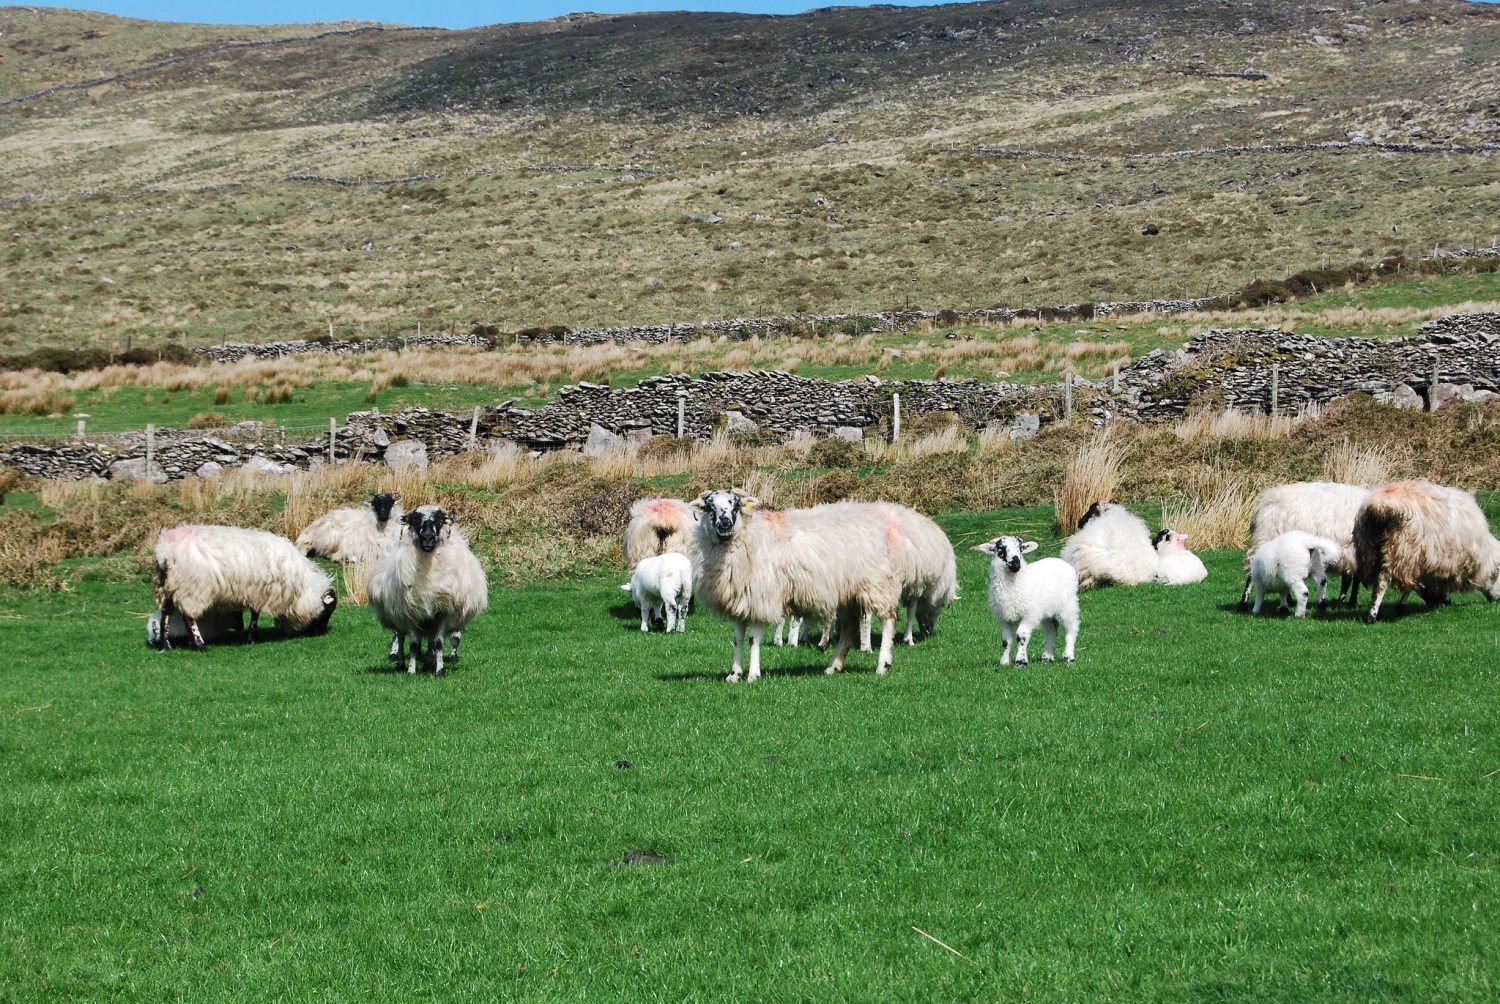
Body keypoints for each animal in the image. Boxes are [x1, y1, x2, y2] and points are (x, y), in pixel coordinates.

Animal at [151, 525, 337, 651]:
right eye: (328, 610)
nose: (319, 633)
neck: (303, 588)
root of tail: (166, 550)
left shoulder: (257, 592)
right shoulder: (261, 593)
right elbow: (255, 615)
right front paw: (252, 637)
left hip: (169, 587)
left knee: (166, 614)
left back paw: (165, 645)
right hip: (192, 588)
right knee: (188, 617)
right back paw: (199, 645)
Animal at [366, 504, 489, 678]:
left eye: (440, 519)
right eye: (415, 520)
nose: (428, 538)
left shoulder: (443, 611)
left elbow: (438, 644)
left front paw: (439, 671)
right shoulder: (410, 612)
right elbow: (413, 645)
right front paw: (411, 671)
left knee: (431, 641)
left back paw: (429, 663)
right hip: (397, 614)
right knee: (400, 637)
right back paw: (401, 664)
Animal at [687, 486, 900, 681]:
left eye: (736, 505)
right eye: (709, 507)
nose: (725, 524)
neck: (747, 535)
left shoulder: (762, 599)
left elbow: (752, 639)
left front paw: (753, 675)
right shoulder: (743, 600)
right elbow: (738, 639)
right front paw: (734, 675)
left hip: (875, 585)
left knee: (888, 620)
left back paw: (883, 665)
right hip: (848, 593)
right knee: (849, 627)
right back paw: (833, 667)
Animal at [972, 531, 1080, 666]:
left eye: (1021, 549)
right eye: (1001, 551)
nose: (1016, 564)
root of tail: (1060, 561)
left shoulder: (1030, 614)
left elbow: (1021, 636)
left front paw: (1021, 662)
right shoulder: (1004, 618)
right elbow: (1006, 640)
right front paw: (1004, 662)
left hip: (1068, 605)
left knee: (1071, 628)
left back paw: (1069, 657)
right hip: (1047, 610)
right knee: (1051, 629)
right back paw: (1047, 658)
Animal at [1350, 477, 1500, 618]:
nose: (1497, 601)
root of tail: (1383, 507)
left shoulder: (1437, 560)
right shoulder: (1440, 560)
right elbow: (1421, 584)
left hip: (1369, 550)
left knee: (1375, 580)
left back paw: (1377, 611)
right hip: (1401, 551)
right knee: (1382, 582)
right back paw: (1372, 615)